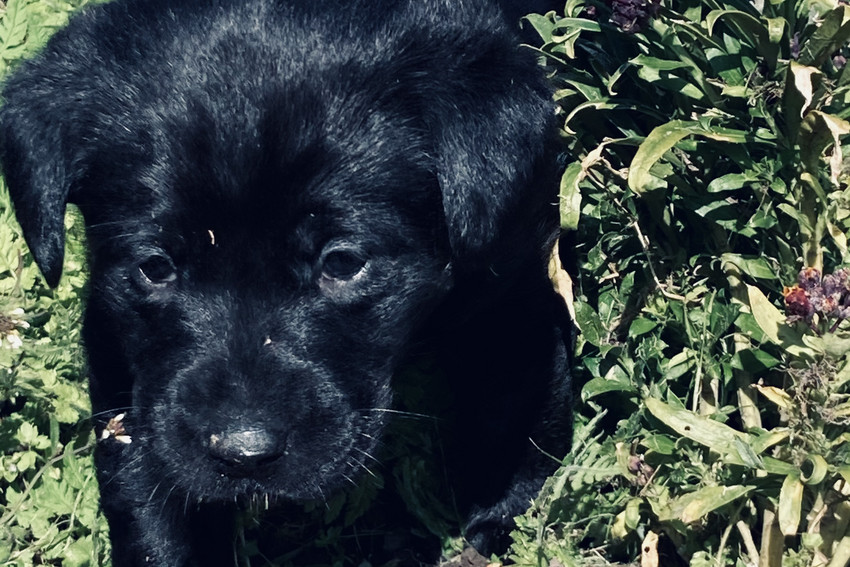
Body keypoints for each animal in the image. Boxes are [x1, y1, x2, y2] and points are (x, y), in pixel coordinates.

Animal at [0, 0, 572, 564]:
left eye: (341, 263)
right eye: (156, 268)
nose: (244, 455)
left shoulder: (508, 278)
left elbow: (514, 403)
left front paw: (500, 515)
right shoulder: (119, 342)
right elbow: (148, 483)